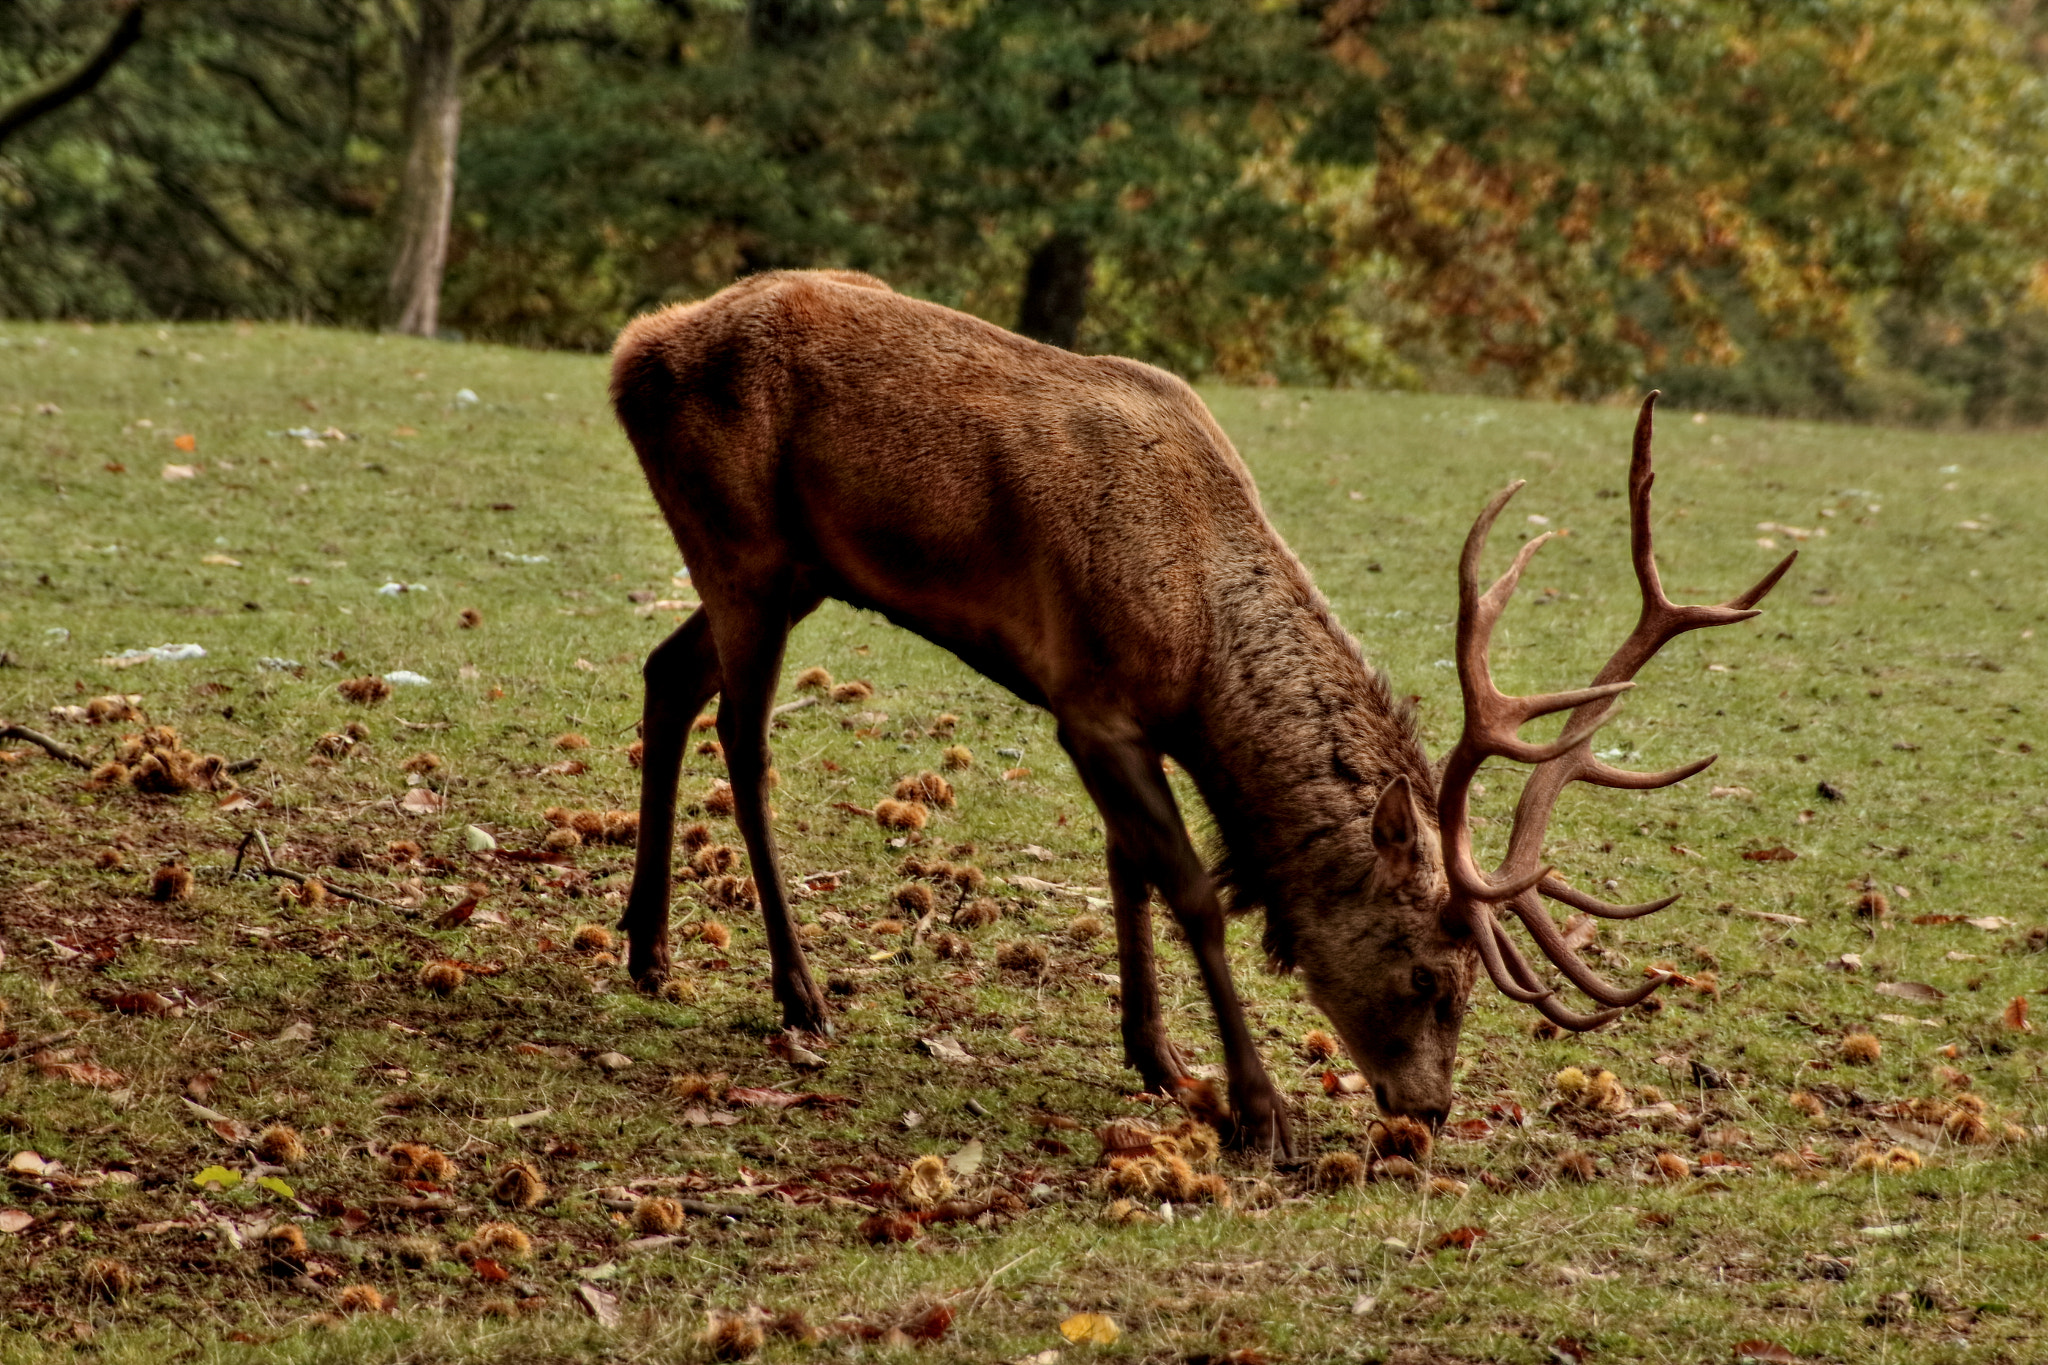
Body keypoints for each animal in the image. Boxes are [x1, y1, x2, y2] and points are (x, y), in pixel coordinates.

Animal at [606, 270, 1794, 1162]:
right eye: (1427, 975)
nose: (1428, 1109)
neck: (1197, 657)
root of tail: (631, 353)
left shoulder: (1109, 713)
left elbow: (1124, 864)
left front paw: (1160, 1059)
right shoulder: (1090, 700)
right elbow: (1190, 890)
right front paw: (1259, 1112)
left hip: (794, 569)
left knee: (666, 674)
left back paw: (649, 950)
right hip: (743, 547)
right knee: (745, 739)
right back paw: (798, 991)